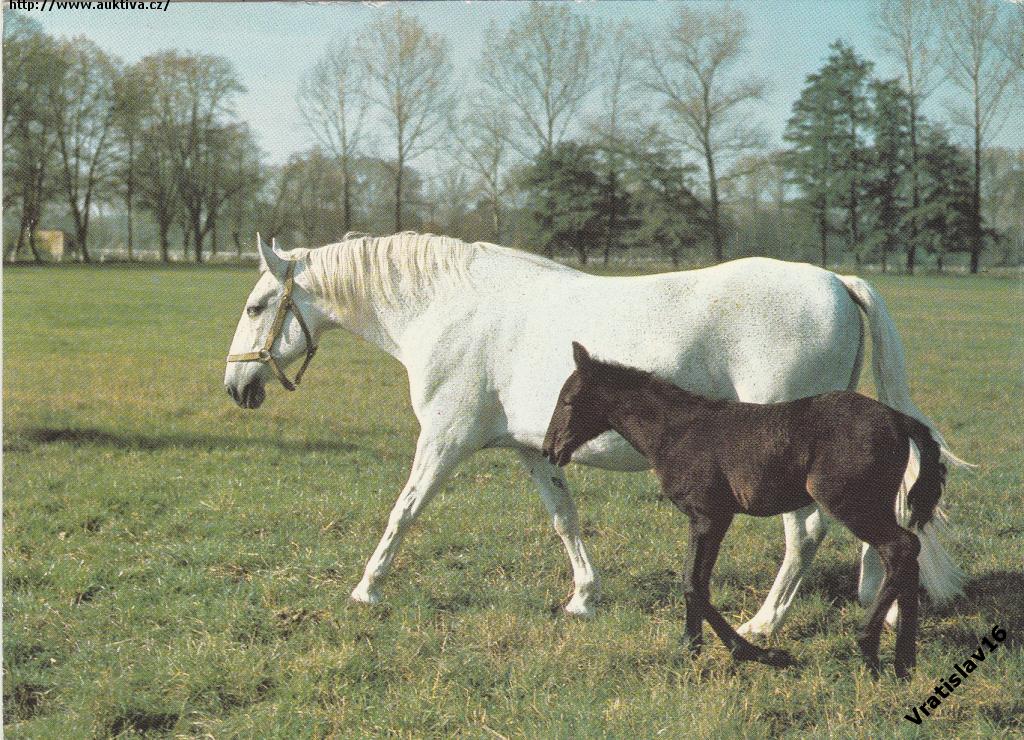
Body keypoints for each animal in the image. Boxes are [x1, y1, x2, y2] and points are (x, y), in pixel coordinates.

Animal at [220, 234, 962, 634]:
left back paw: (764, 623)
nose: (236, 386)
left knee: (805, 535)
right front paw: (583, 597)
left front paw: (365, 589)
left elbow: (403, 512)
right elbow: (565, 520)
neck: (450, 309)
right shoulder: (532, 451)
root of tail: (834, 280)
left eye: (256, 306)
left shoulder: (444, 442)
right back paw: (880, 609)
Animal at [540, 341, 946, 675]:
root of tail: (899, 420)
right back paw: (904, 662)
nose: (549, 449)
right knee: (907, 552)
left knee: (900, 547)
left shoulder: (711, 515)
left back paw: (868, 648)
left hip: (851, 504)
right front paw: (690, 647)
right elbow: (694, 581)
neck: (677, 433)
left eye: (568, 400)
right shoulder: (700, 519)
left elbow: (694, 584)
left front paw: (760, 654)